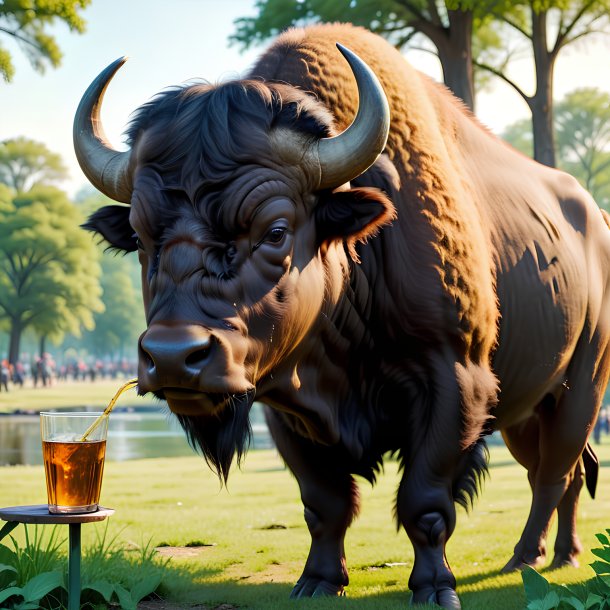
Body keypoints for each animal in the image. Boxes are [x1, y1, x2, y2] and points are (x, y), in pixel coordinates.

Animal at [72, 23, 608, 608]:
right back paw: (553, 553)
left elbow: (425, 503)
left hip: (582, 388)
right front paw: (318, 581)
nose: (172, 357)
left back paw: (533, 556)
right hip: (527, 408)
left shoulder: (457, 384)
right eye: (141, 236)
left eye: (276, 231)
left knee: (555, 473)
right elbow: (324, 503)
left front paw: (435, 587)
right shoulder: (282, 403)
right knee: (558, 471)